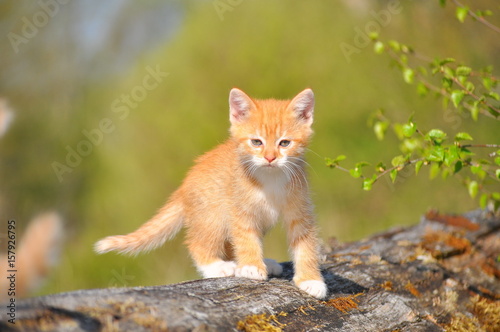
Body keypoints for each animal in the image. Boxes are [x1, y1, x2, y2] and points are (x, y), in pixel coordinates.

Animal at [94, 87, 328, 298]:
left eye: (284, 143)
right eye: (256, 142)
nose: (270, 158)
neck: (271, 177)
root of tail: (184, 186)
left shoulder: (300, 210)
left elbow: (305, 245)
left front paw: (311, 280)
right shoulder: (239, 208)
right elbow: (245, 237)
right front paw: (251, 266)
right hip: (213, 213)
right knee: (197, 242)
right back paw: (217, 266)